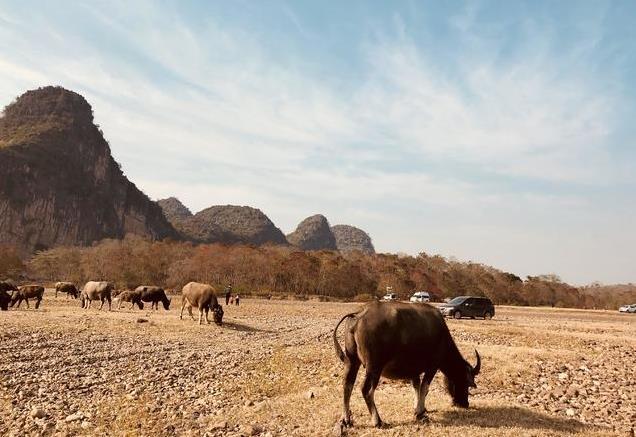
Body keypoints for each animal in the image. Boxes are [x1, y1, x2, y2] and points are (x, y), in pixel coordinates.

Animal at [336, 302, 480, 428]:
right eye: (467, 383)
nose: (464, 403)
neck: (442, 336)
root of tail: (359, 314)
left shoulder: (413, 370)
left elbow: (416, 387)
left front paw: (418, 408)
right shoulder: (432, 366)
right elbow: (424, 388)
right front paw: (420, 413)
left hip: (352, 361)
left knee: (347, 385)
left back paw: (346, 420)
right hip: (374, 367)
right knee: (366, 390)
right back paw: (377, 421)